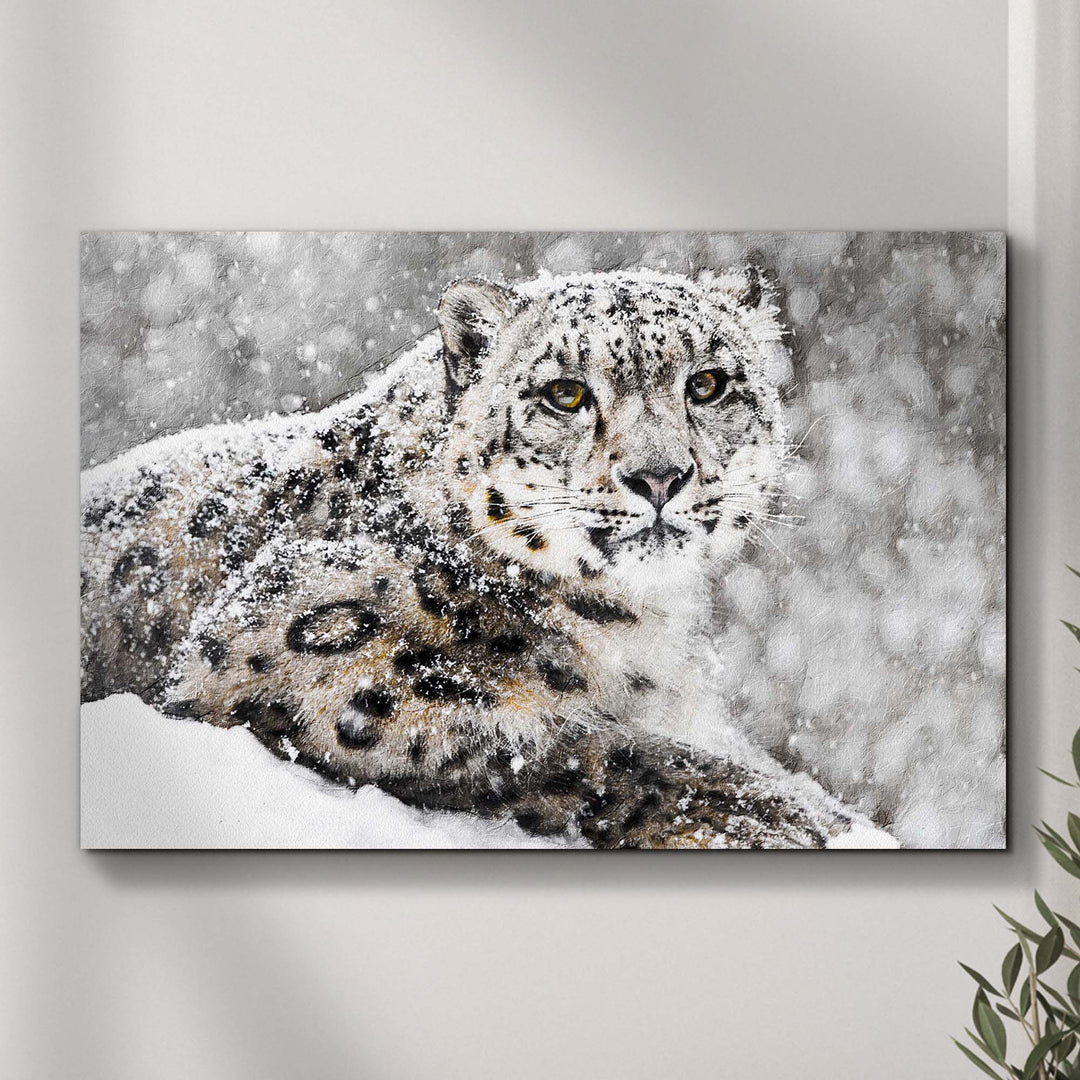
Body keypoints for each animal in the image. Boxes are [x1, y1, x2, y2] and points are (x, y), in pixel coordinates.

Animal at [80, 267, 869, 849]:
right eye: (565, 393)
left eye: (707, 383)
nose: (659, 477)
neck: (638, 628)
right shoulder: (298, 660)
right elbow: (564, 750)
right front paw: (787, 817)